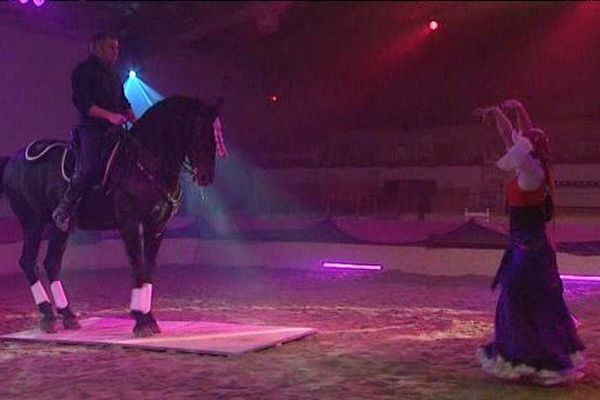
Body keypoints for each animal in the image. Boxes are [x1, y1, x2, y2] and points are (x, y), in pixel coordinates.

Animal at [0, 96, 219, 338]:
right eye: (198, 130)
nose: (206, 176)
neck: (144, 164)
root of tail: (14, 159)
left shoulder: (157, 227)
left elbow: (149, 269)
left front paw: (149, 319)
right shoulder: (131, 225)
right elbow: (138, 266)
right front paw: (140, 321)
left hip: (60, 227)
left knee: (51, 263)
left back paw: (68, 316)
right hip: (33, 223)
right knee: (28, 262)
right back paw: (48, 315)